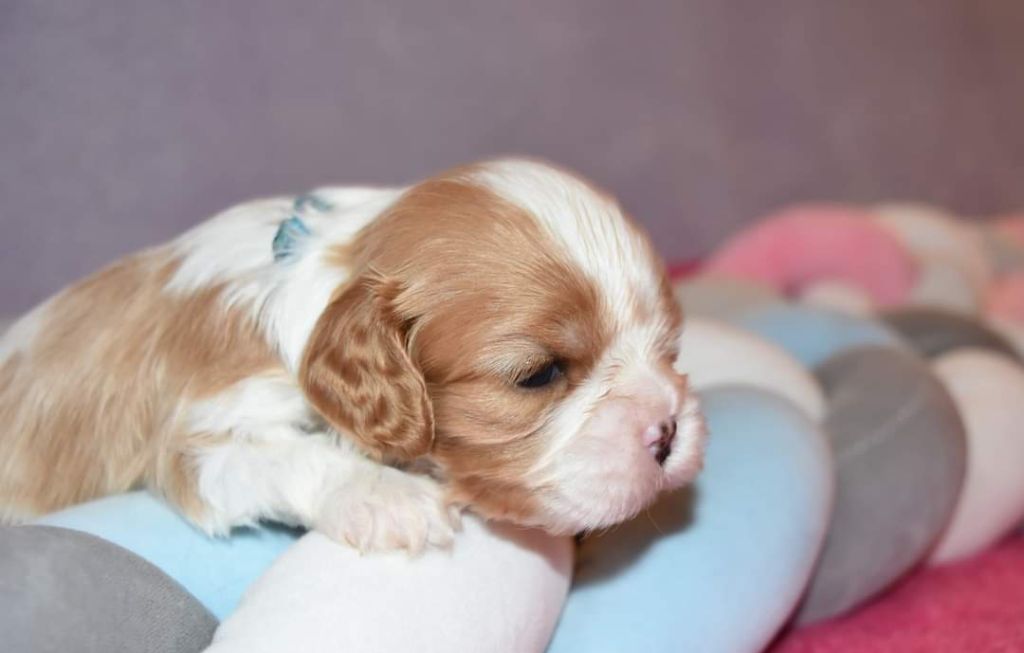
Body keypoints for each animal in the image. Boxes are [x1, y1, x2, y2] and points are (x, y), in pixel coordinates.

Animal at [0, 158, 706, 552]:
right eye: (537, 375)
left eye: (670, 348)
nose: (668, 431)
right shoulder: (201, 429)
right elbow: (282, 455)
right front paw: (387, 497)